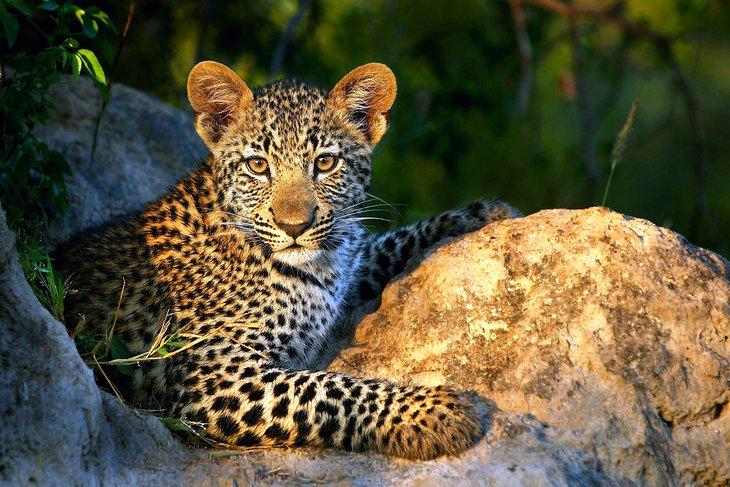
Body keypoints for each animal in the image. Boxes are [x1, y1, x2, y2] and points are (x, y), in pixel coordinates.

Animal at [54, 61, 520, 460]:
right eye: (258, 165)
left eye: (325, 163)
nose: (294, 225)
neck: (317, 267)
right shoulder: (213, 376)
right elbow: (326, 390)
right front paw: (432, 412)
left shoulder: (346, 264)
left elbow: (387, 243)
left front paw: (481, 215)